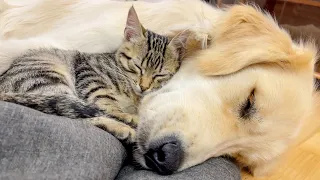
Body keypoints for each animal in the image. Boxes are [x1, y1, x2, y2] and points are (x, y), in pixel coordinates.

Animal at [0, 7, 190, 144]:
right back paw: (123, 127)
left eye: (160, 74)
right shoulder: (89, 73)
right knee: (70, 113)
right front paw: (126, 115)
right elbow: (107, 102)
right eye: (137, 66)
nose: (144, 86)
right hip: (48, 78)